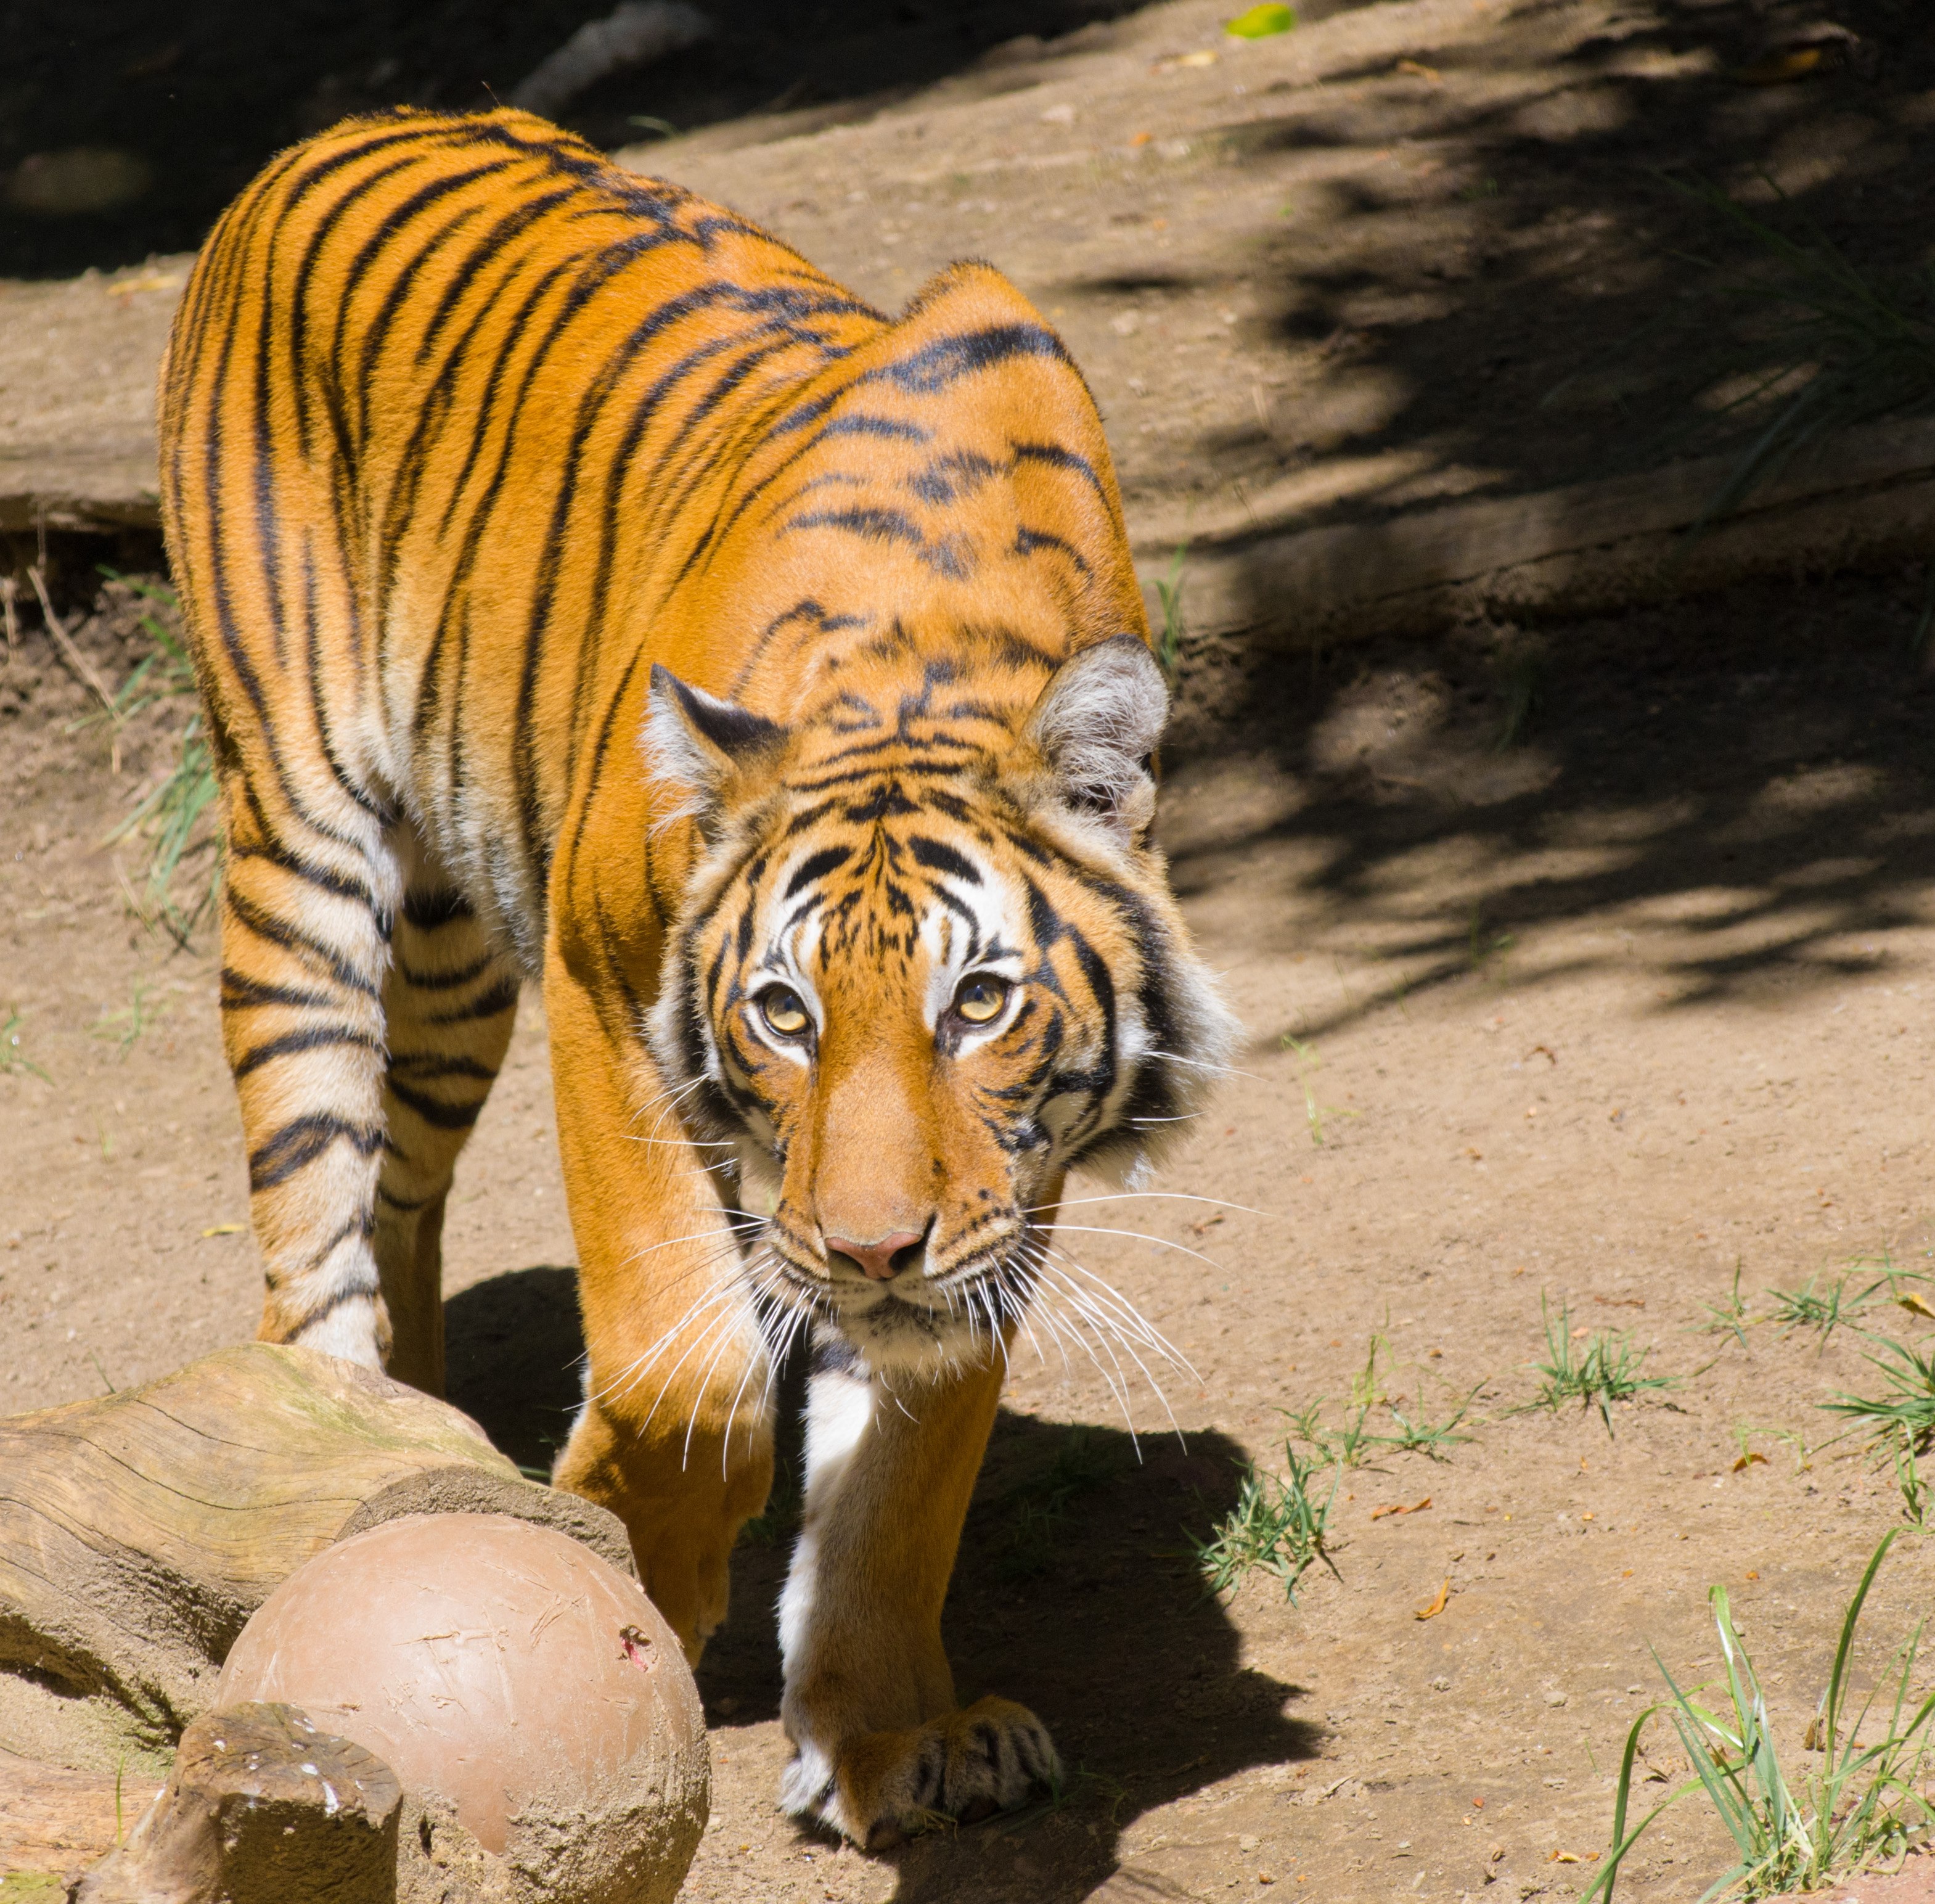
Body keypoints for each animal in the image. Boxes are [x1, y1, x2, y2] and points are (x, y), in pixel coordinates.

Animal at [158, 104, 1230, 1842]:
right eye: (782, 1013)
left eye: (979, 1003)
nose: (868, 1249)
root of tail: (332, 129)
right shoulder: (606, 995)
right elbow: (688, 1370)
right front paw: (614, 1562)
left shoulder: (1008, 1181)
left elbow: (909, 1467)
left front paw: (894, 1733)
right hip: (302, 837)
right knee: (311, 1222)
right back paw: (351, 1436)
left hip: (452, 961)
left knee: (401, 1188)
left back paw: (419, 1426)